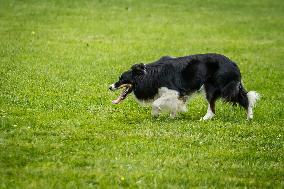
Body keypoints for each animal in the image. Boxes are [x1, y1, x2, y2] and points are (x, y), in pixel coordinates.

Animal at [108, 53, 260, 119]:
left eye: (122, 79)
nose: (110, 87)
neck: (148, 75)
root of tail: (234, 64)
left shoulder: (174, 91)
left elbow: (156, 103)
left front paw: (156, 114)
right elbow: (174, 105)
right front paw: (172, 116)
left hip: (214, 86)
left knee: (215, 105)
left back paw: (205, 118)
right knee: (244, 97)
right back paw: (249, 117)